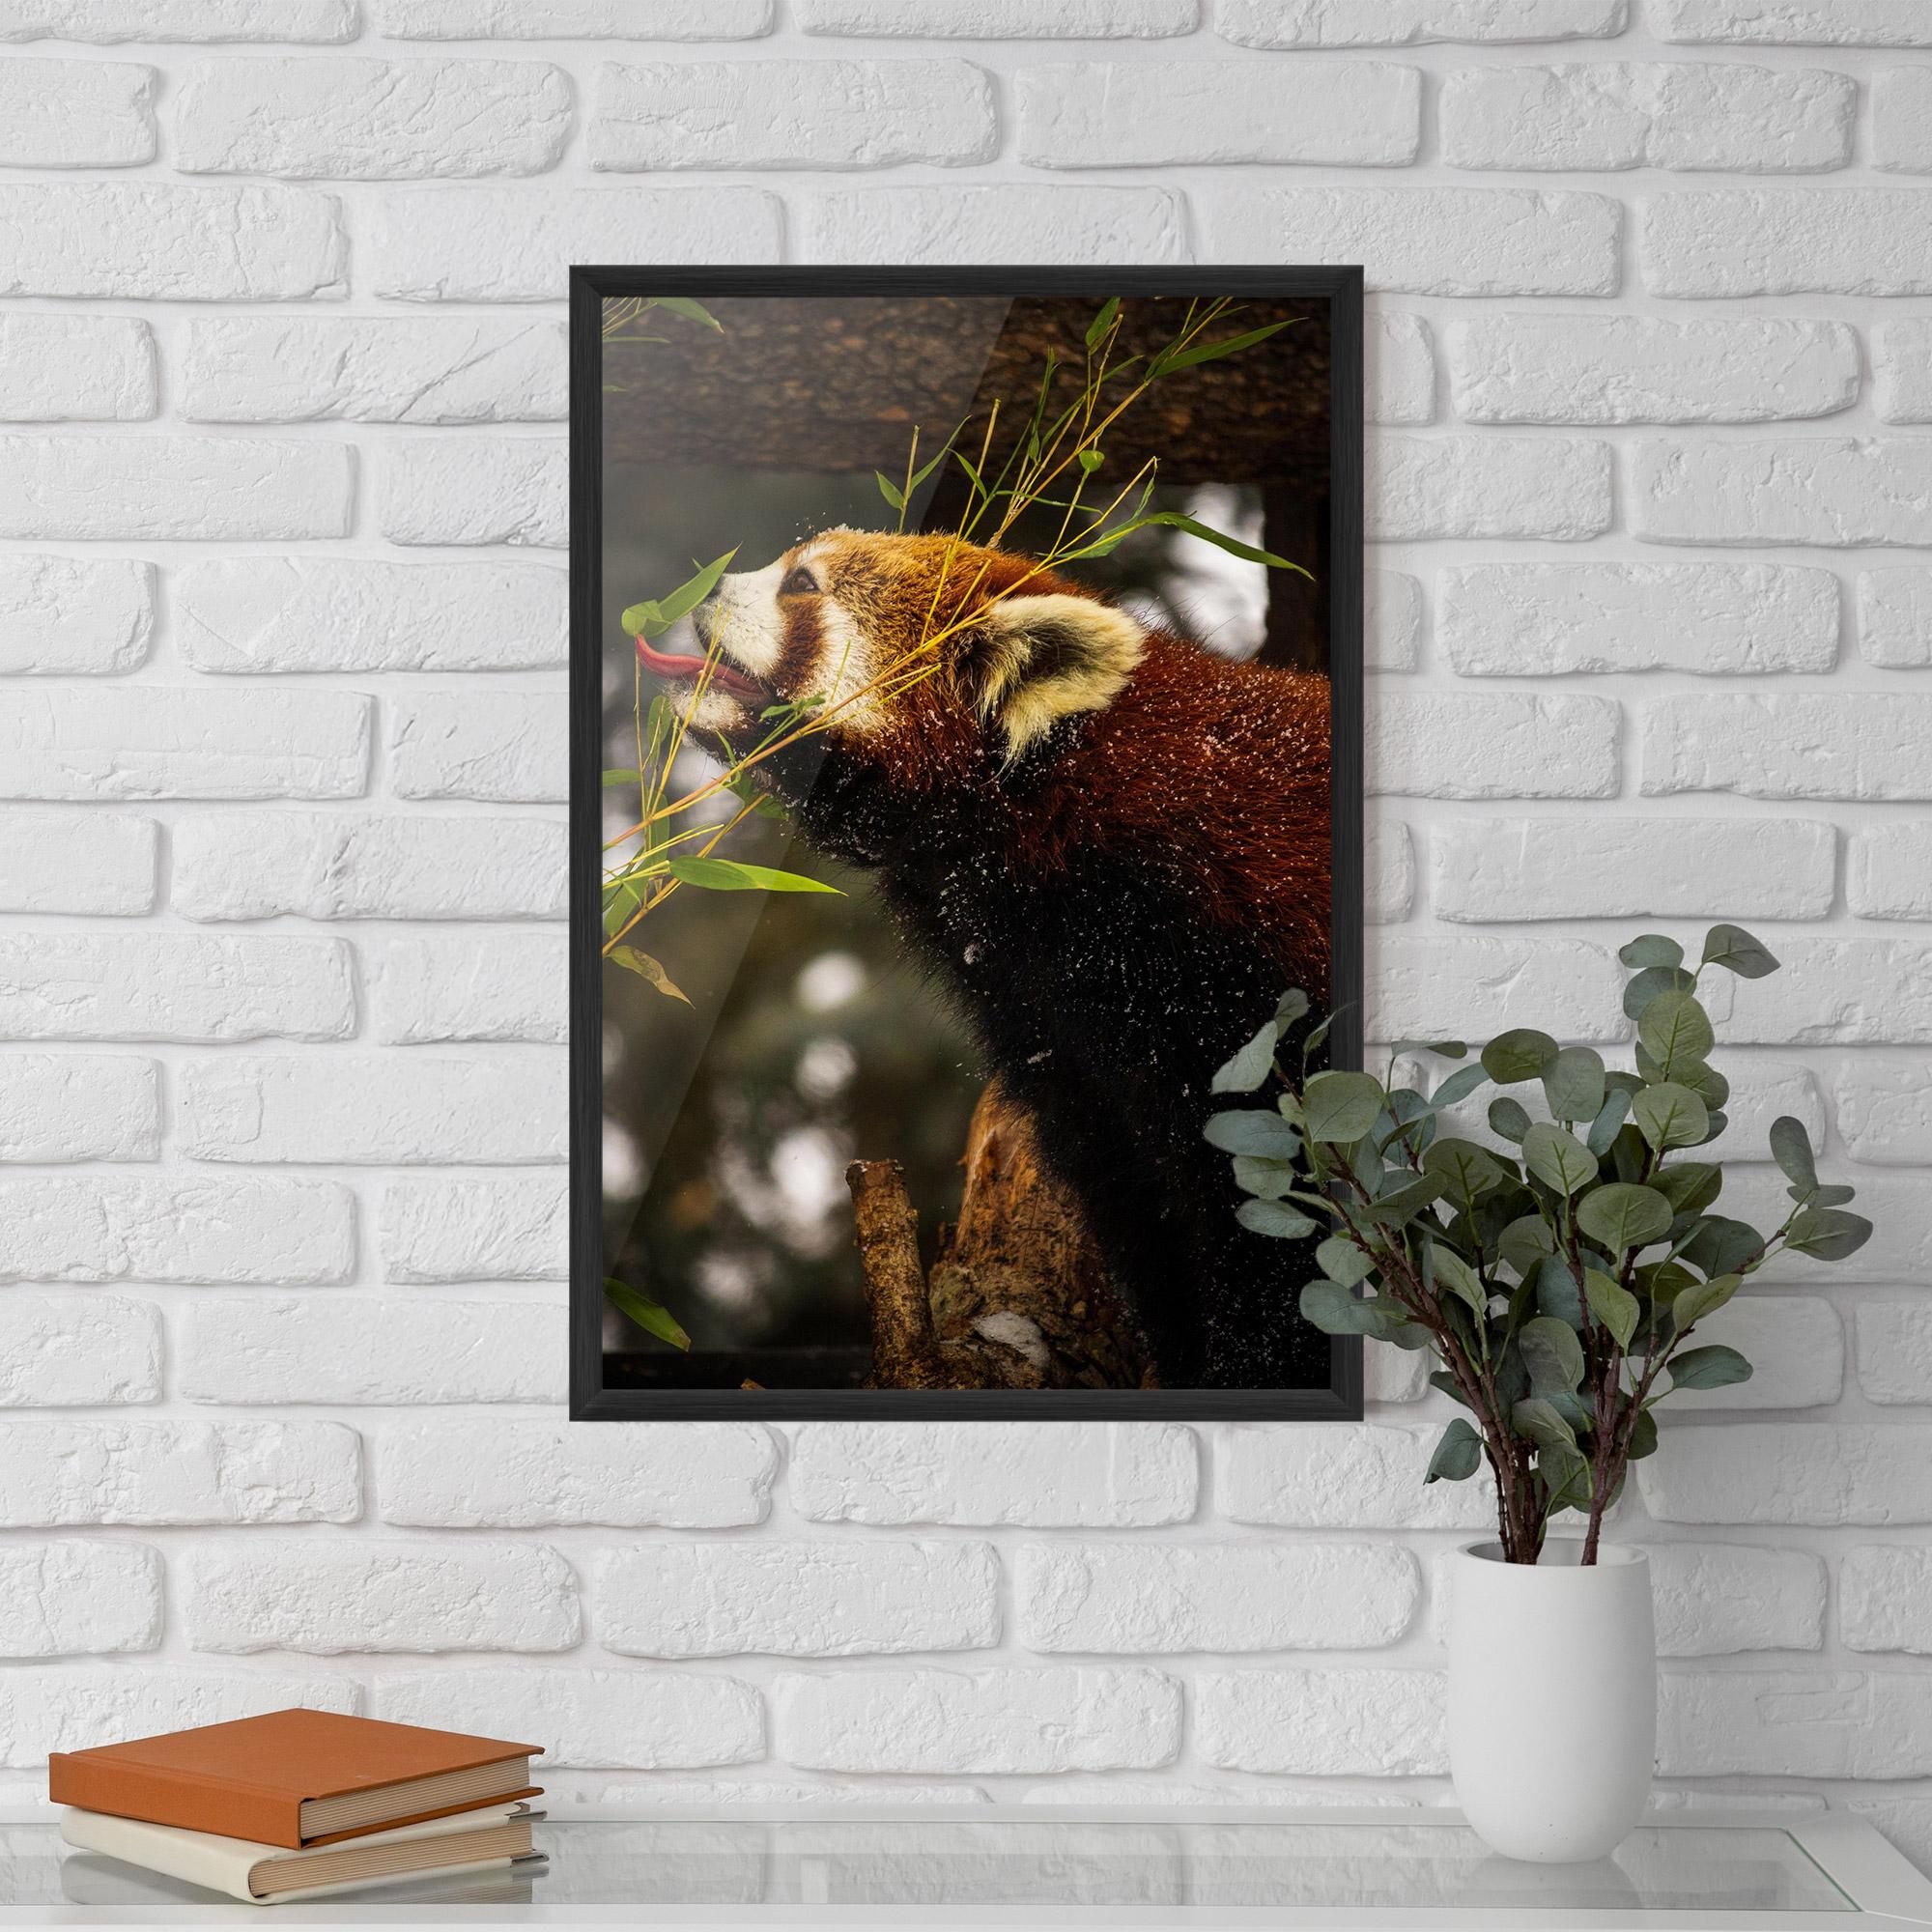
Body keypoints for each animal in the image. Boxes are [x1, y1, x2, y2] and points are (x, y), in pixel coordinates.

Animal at [645, 527, 1332, 1390]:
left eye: (801, 584)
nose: (698, 586)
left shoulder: (1234, 973)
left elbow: (1282, 1221)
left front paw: (1254, 1367)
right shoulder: (1052, 1021)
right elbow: (1136, 1197)